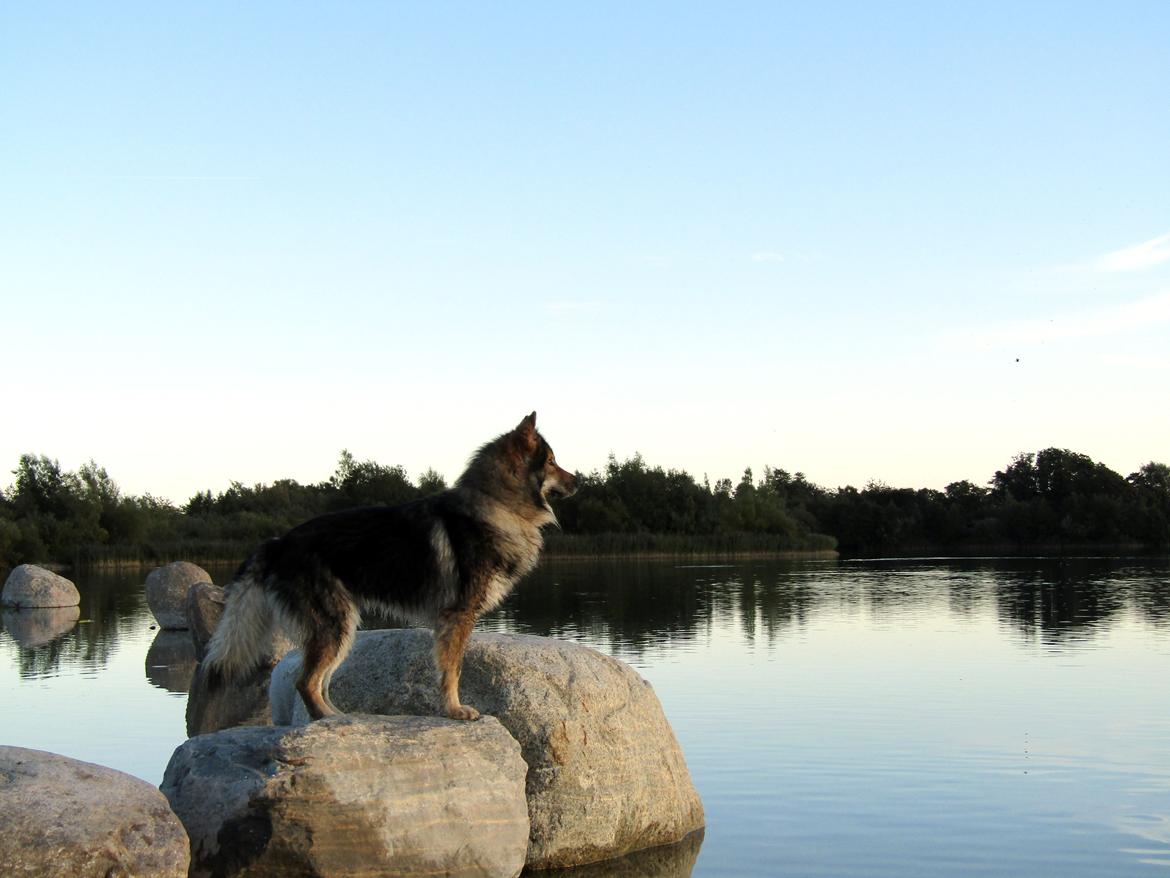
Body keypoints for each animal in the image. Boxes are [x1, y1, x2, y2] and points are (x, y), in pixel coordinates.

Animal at [205, 414, 580, 721]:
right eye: (552, 461)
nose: (579, 482)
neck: (496, 505)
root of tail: (278, 542)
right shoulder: (458, 617)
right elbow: (453, 670)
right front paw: (455, 711)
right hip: (336, 626)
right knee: (306, 683)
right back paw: (331, 721)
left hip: (342, 629)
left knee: (317, 682)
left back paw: (337, 716)